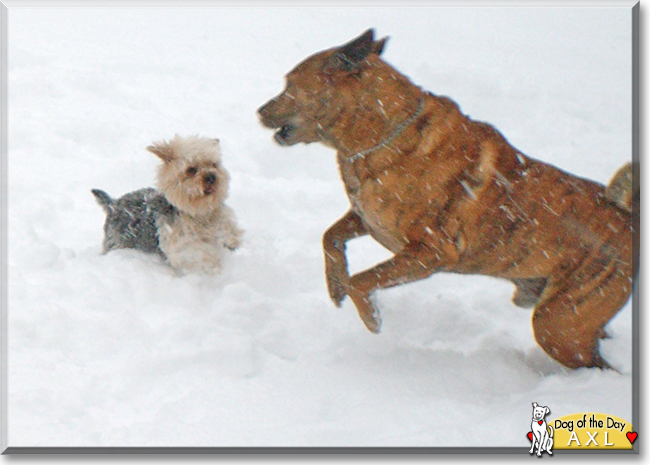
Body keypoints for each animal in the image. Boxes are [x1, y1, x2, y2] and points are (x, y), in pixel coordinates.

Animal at [256, 29, 632, 370]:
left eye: (289, 83)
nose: (259, 111)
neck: (380, 132)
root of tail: (631, 222)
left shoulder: (432, 252)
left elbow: (362, 281)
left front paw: (371, 319)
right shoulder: (367, 219)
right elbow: (330, 237)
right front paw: (334, 286)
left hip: (560, 323)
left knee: (597, 364)